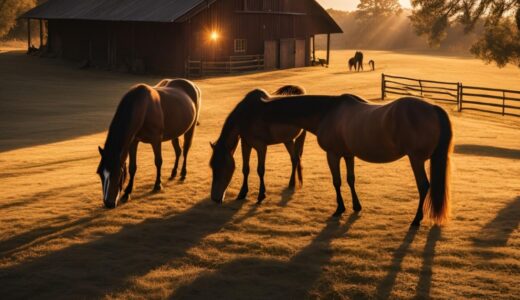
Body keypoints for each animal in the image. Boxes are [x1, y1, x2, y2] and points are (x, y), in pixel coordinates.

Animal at [97, 78, 201, 207]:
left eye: (118, 173)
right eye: (100, 173)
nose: (108, 203)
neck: (143, 108)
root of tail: (192, 84)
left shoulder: (156, 140)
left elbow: (158, 161)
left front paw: (158, 185)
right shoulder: (133, 141)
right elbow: (132, 167)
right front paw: (127, 192)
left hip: (190, 128)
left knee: (186, 149)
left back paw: (183, 173)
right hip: (175, 131)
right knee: (178, 151)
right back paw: (173, 172)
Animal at [248, 90, 450, 226]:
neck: (327, 113)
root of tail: (433, 108)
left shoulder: (333, 154)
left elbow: (336, 181)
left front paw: (339, 208)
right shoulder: (348, 155)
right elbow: (350, 179)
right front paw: (356, 206)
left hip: (416, 159)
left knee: (423, 186)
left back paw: (416, 220)